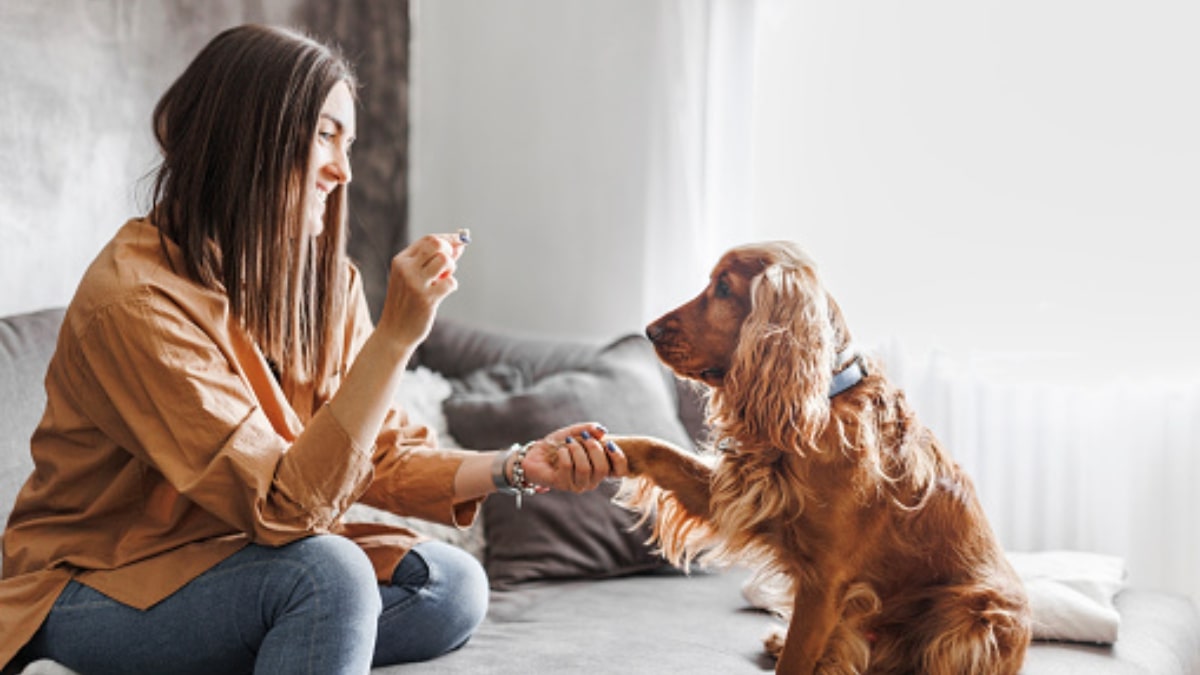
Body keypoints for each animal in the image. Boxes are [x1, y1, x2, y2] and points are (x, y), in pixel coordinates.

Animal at [609, 239, 1032, 667]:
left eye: (724, 288)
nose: (649, 331)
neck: (820, 404)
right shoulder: (748, 500)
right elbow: (658, 449)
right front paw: (608, 446)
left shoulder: (826, 582)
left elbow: (796, 662)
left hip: (972, 617)